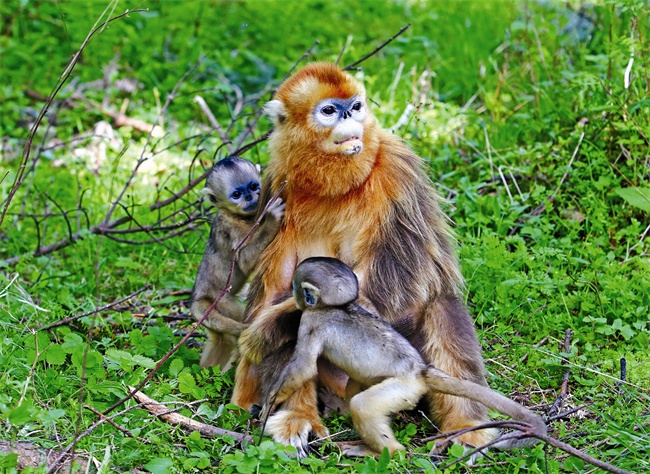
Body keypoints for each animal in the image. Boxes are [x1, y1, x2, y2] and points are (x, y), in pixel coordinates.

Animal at [191, 156, 284, 370]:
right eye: (237, 194)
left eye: (253, 186)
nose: (250, 197)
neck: (240, 217)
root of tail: (198, 297)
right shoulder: (229, 227)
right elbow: (244, 260)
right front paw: (271, 218)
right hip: (219, 302)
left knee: (221, 340)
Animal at [260, 258, 544, 458]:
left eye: (296, 287)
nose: (292, 293)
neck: (336, 306)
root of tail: (420, 370)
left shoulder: (311, 321)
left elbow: (304, 366)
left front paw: (268, 403)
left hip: (405, 388)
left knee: (363, 406)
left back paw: (385, 451)